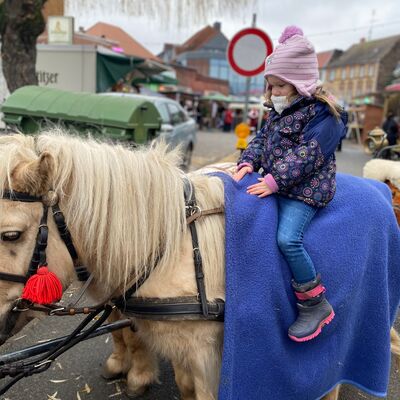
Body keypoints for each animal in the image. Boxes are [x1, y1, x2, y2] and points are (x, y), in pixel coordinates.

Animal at [0, 131, 398, 400]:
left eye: (10, 234)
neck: (170, 242)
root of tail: (379, 189)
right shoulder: (177, 343)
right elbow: (161, 363)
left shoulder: (208, 357)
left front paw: (136, 375)